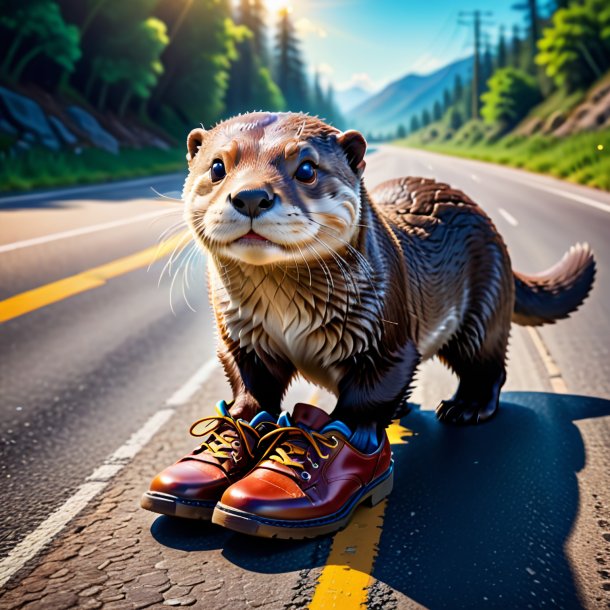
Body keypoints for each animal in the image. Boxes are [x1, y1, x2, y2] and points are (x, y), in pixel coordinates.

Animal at [182, 113, 592, 428]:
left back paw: (466, 407)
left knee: (487, 363)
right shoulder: (241, 336)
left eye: (307, 169)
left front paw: (339, 436)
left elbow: (369, 396)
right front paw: (237, 420)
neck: (286, 316)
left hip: (484, 305)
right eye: (217, 166)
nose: (251, 196)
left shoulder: (386, 336)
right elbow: (249, 382)